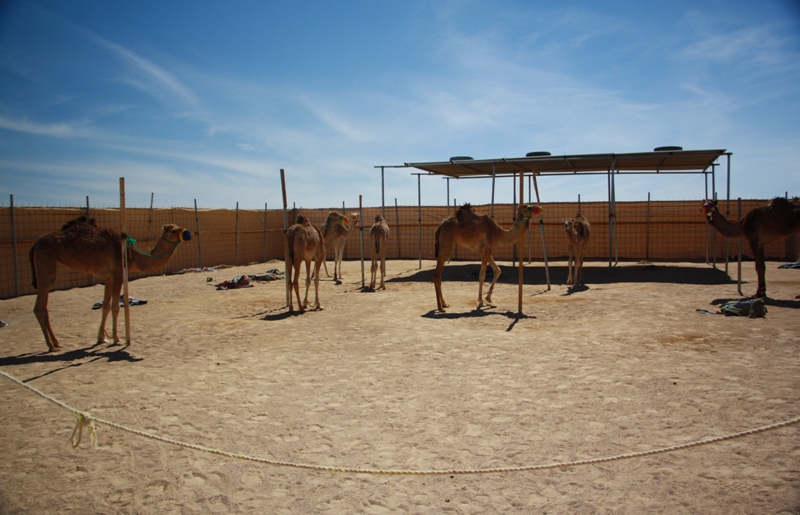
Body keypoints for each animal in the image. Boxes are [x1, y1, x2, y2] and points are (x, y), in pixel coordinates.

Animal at [29, 216, 192, 352]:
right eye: (173, 230)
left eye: (178, 227)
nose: (186, 233)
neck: (131, 256)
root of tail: (35, 244)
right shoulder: (118, 274)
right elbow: (115, 306)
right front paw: (117, 340)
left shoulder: (107, 277)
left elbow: (105, 306)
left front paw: (101, 338)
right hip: (46, 263)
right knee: (40, 305)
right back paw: (51, 346)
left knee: (44, 306)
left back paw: (56, 343)